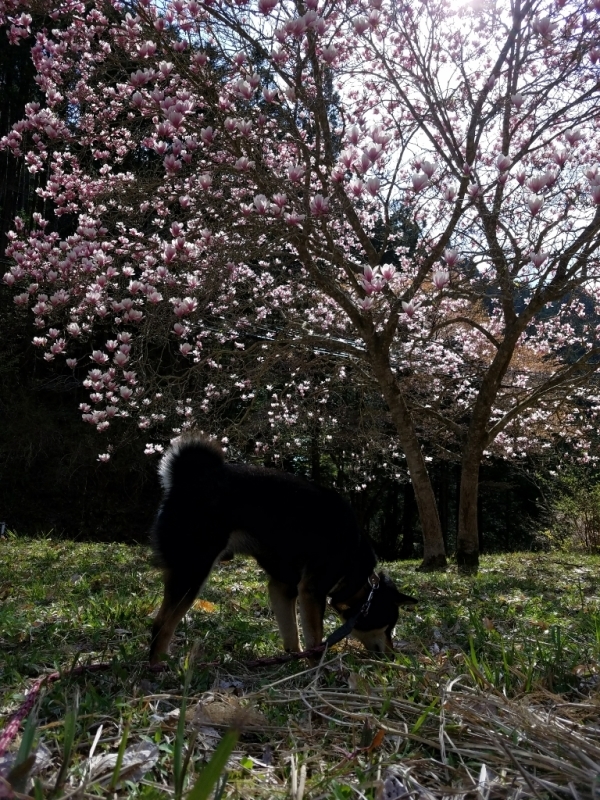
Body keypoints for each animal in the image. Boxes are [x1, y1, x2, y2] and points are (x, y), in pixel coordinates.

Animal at [149, 434, 418, 664]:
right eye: (389, 626)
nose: (393, 656)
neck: (358, 577)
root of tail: (189, 476)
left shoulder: (283, 587)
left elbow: (292, 635)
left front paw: (293, 662)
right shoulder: (311, 591)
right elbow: (315, 641)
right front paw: (317, 673)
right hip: (193, 570)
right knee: (161, 624)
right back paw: (158, 667)